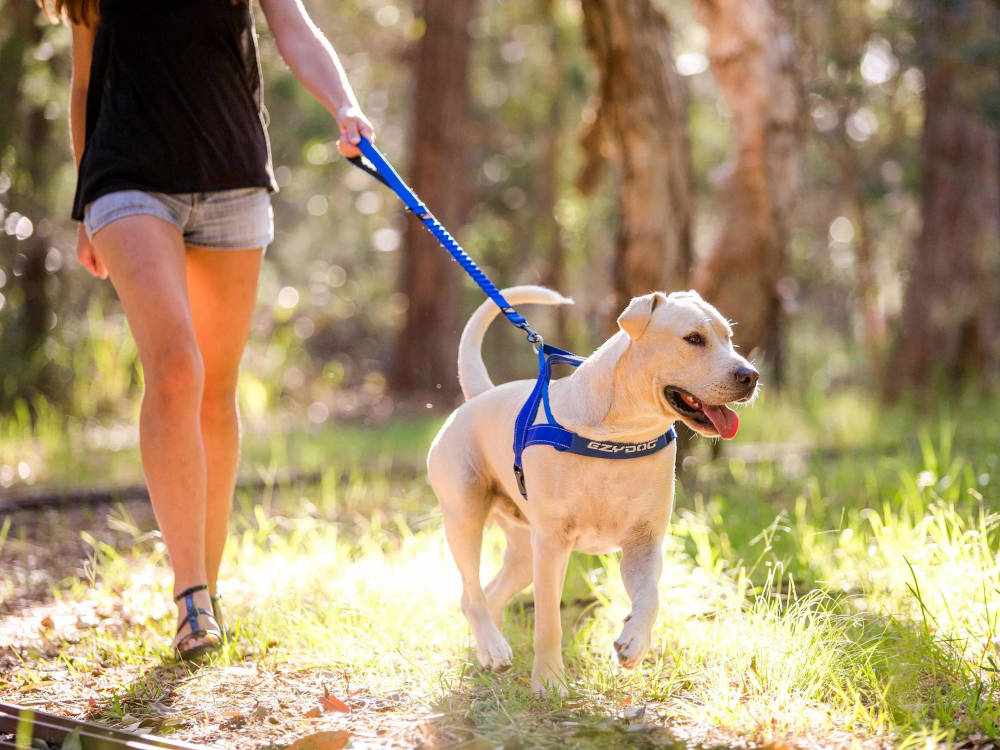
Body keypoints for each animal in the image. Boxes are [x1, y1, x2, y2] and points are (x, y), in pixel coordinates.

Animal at [424, 284, 756, 696]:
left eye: (728, 336)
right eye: (694, 339)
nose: (751, 376)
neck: (620, 435)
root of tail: (479, 397)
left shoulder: (644, 543)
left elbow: (651, 597)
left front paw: (633, 643)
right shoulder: (552, 544)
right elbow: (549, 622)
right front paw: (549, 683)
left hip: (522, 548)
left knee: (491, 591)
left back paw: (489, 651)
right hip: (465, 517)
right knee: (470, 592)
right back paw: (492, 647)